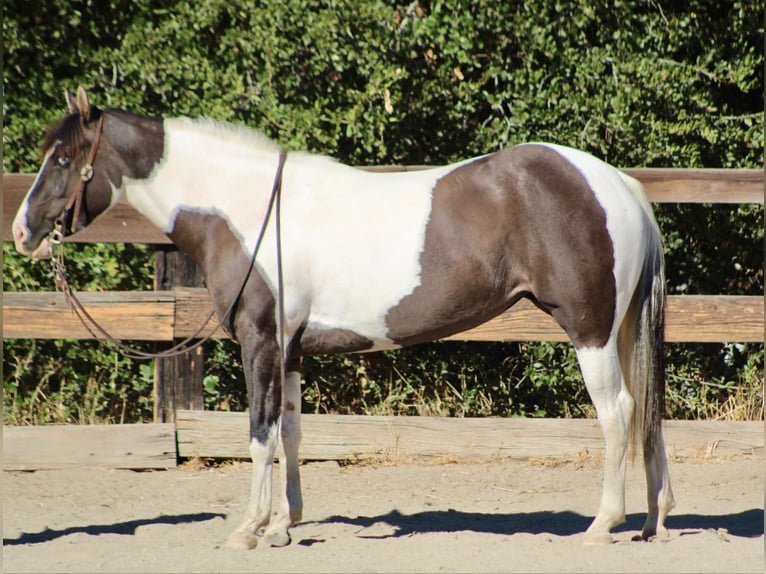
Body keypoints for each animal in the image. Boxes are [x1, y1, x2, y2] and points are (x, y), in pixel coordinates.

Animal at [12, 87, 675, 548]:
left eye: (65, 158)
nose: (23, 232)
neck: (248, 213)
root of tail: (618, 184)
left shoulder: (259, 343)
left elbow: (258, 435)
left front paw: (247, 529)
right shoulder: (291, 352)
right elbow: (291, 433)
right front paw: (284, 525)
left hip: (589, 332)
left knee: (618, 413)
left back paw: (602, 525)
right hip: (617, 331)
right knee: (646, 411)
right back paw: (654, 519)